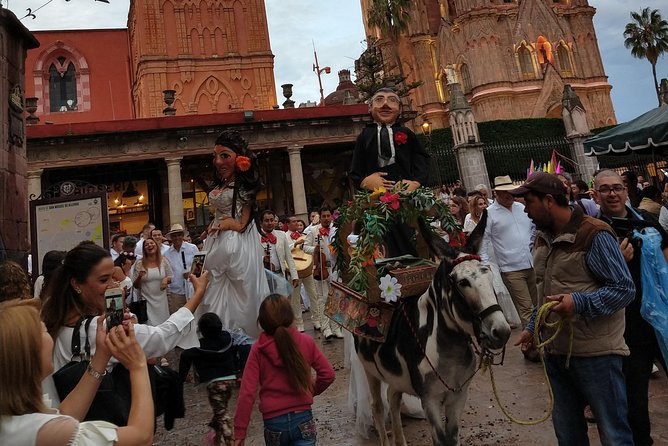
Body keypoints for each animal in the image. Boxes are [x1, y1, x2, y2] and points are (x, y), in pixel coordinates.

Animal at [354, 213, 512, 446]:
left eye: (489, 274)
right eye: (462, 282)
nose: (501, 331)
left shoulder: (458, 398)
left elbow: (452, 439)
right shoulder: (430, 401)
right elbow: (440, 440)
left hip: (395, 376)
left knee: (393, 398)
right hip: (370, 370)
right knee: (378, 408)